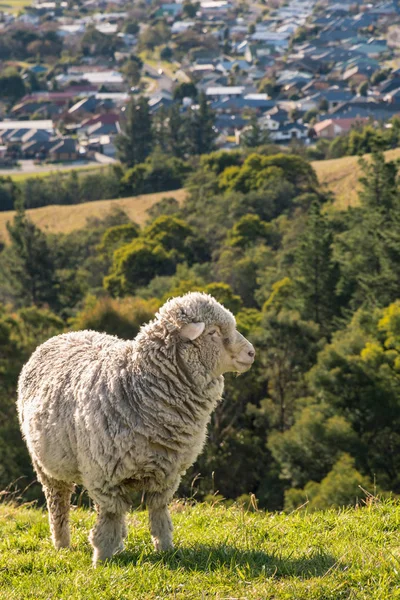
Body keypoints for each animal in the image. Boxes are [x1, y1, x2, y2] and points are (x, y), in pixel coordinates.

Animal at [17, 292, 255, 564]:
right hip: (47, 466)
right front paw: (101, 559)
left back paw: (118, 545)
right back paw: (62, 544)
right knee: (59, 503)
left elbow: (158, 513)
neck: (137, 383)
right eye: (213, 332)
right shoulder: (104, 475)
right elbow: (109, 517)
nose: (251, 353)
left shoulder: (166, 473)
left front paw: (165, 549)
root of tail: (65, 334)